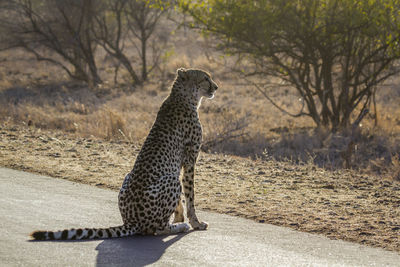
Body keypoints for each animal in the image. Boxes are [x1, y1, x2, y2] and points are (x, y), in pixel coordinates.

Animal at [30, 68, 219, 241]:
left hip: (129, 177)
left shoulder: (179, 165)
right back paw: (179, 227)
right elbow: (190, 196)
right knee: (156, 229)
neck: (183, 96)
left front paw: (178, 218)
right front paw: (195, 223)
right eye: (205, 78)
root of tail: (131, 221)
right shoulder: (189, 161)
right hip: (169, 179)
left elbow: (181, 201)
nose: (216, 87)